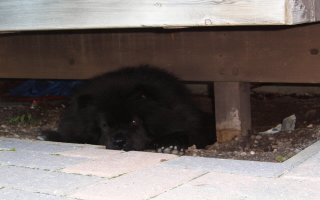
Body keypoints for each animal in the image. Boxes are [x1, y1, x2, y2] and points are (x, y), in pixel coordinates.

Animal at [42, 65, 216, 151]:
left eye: (133, 121)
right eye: (105, 126)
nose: (119, 141)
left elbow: (184, 133)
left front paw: (169, 145)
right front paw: (50, 136)